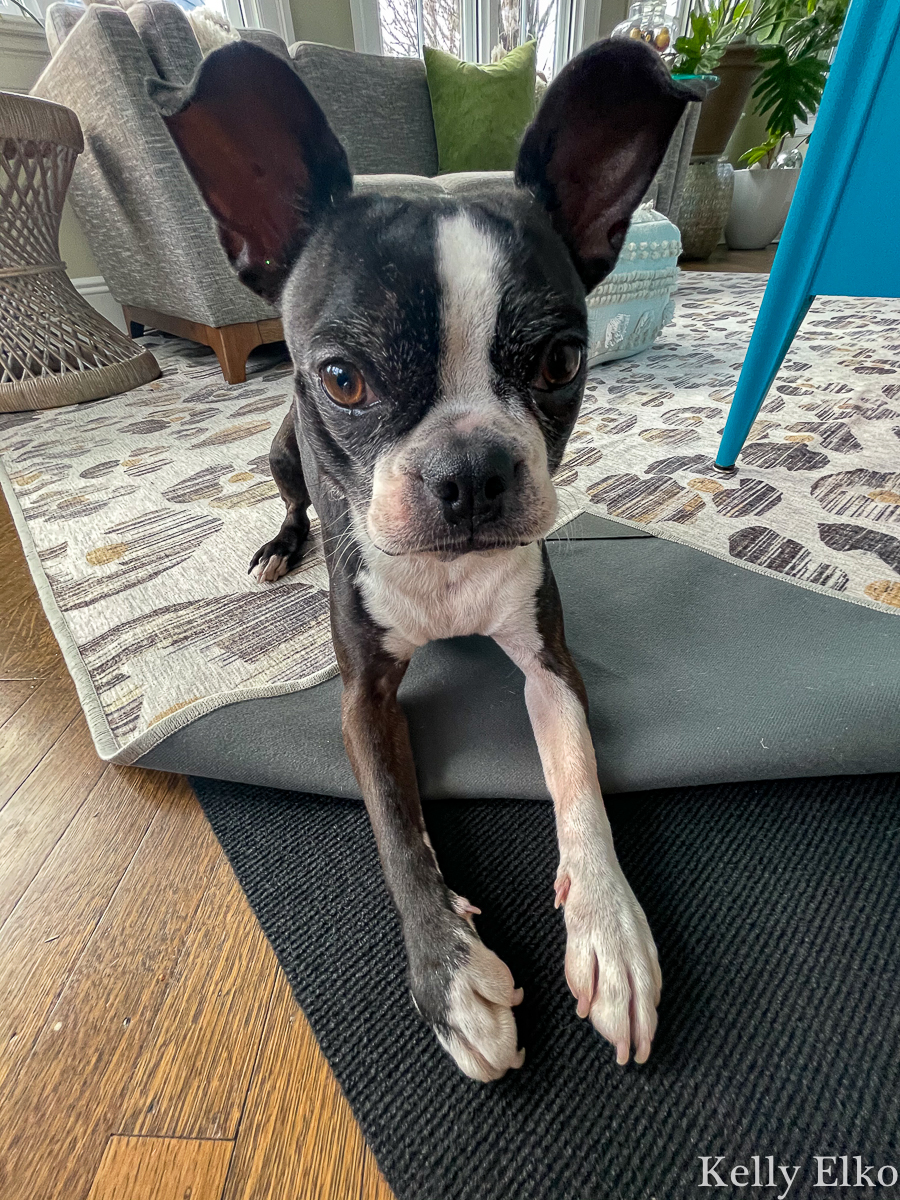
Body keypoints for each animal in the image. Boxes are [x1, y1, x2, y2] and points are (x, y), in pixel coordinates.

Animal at [157, 42, 696, 1084]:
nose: (471, 468)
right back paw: (278, 548)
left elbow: (582, 787)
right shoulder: (363, 698)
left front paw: (610, 930)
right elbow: (398, 831)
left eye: (562, 362)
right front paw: (449, 975)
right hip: (279, 453)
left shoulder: (549, 666)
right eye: (341, 378)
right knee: (291, 499)